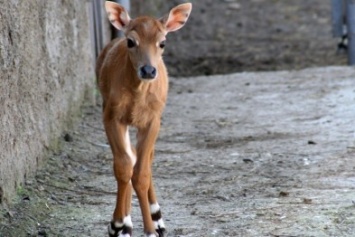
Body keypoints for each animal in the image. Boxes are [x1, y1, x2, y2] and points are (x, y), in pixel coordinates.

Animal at [96, 2, 193, 237]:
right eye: (131, 41)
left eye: (162, 42)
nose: (148, 70)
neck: (137, 96)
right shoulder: (111, 116)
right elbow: (123, 167)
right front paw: (117, 224)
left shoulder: (153, 120)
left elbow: (141, 173)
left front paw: (150, 229)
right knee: (131, 158)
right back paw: (128, 224)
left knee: (146, 161)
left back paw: (157, 218)